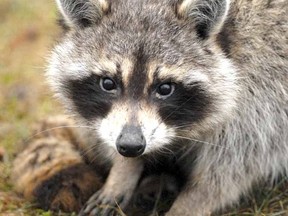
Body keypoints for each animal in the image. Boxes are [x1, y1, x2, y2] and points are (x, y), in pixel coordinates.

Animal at [14, 0, 288, 215]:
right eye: (108, 83)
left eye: (165, 88)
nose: (130, 145)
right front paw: (123, 171)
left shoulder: (262, 96)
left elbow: (232, 167)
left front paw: (191, 203)